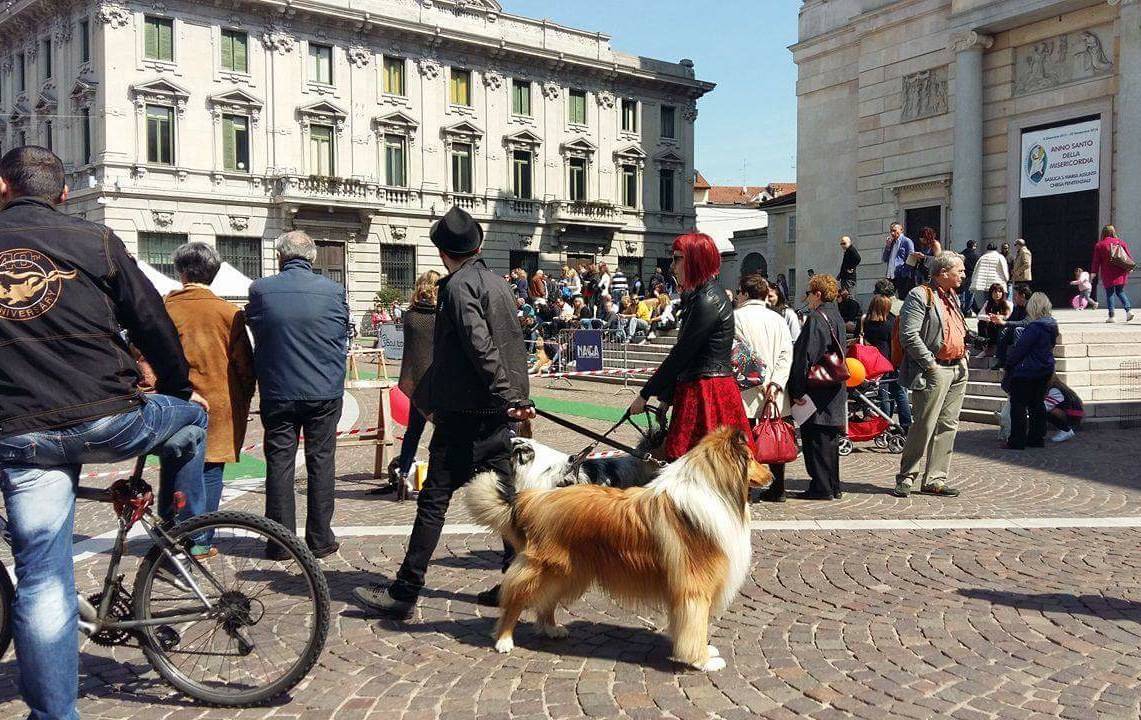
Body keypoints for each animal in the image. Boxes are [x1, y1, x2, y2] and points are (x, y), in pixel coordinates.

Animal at [465, 429, 775, 670]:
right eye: (752, 458)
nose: (772, 474)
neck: (715, 492)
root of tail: (532, 499)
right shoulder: (694, 588)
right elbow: (695, 624)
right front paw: (702, 660)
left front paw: (703, 652)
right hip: (545, 569)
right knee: (515, 599)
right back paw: (504, 640)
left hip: (568, 572)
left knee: (546, 601)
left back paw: (552, 629)